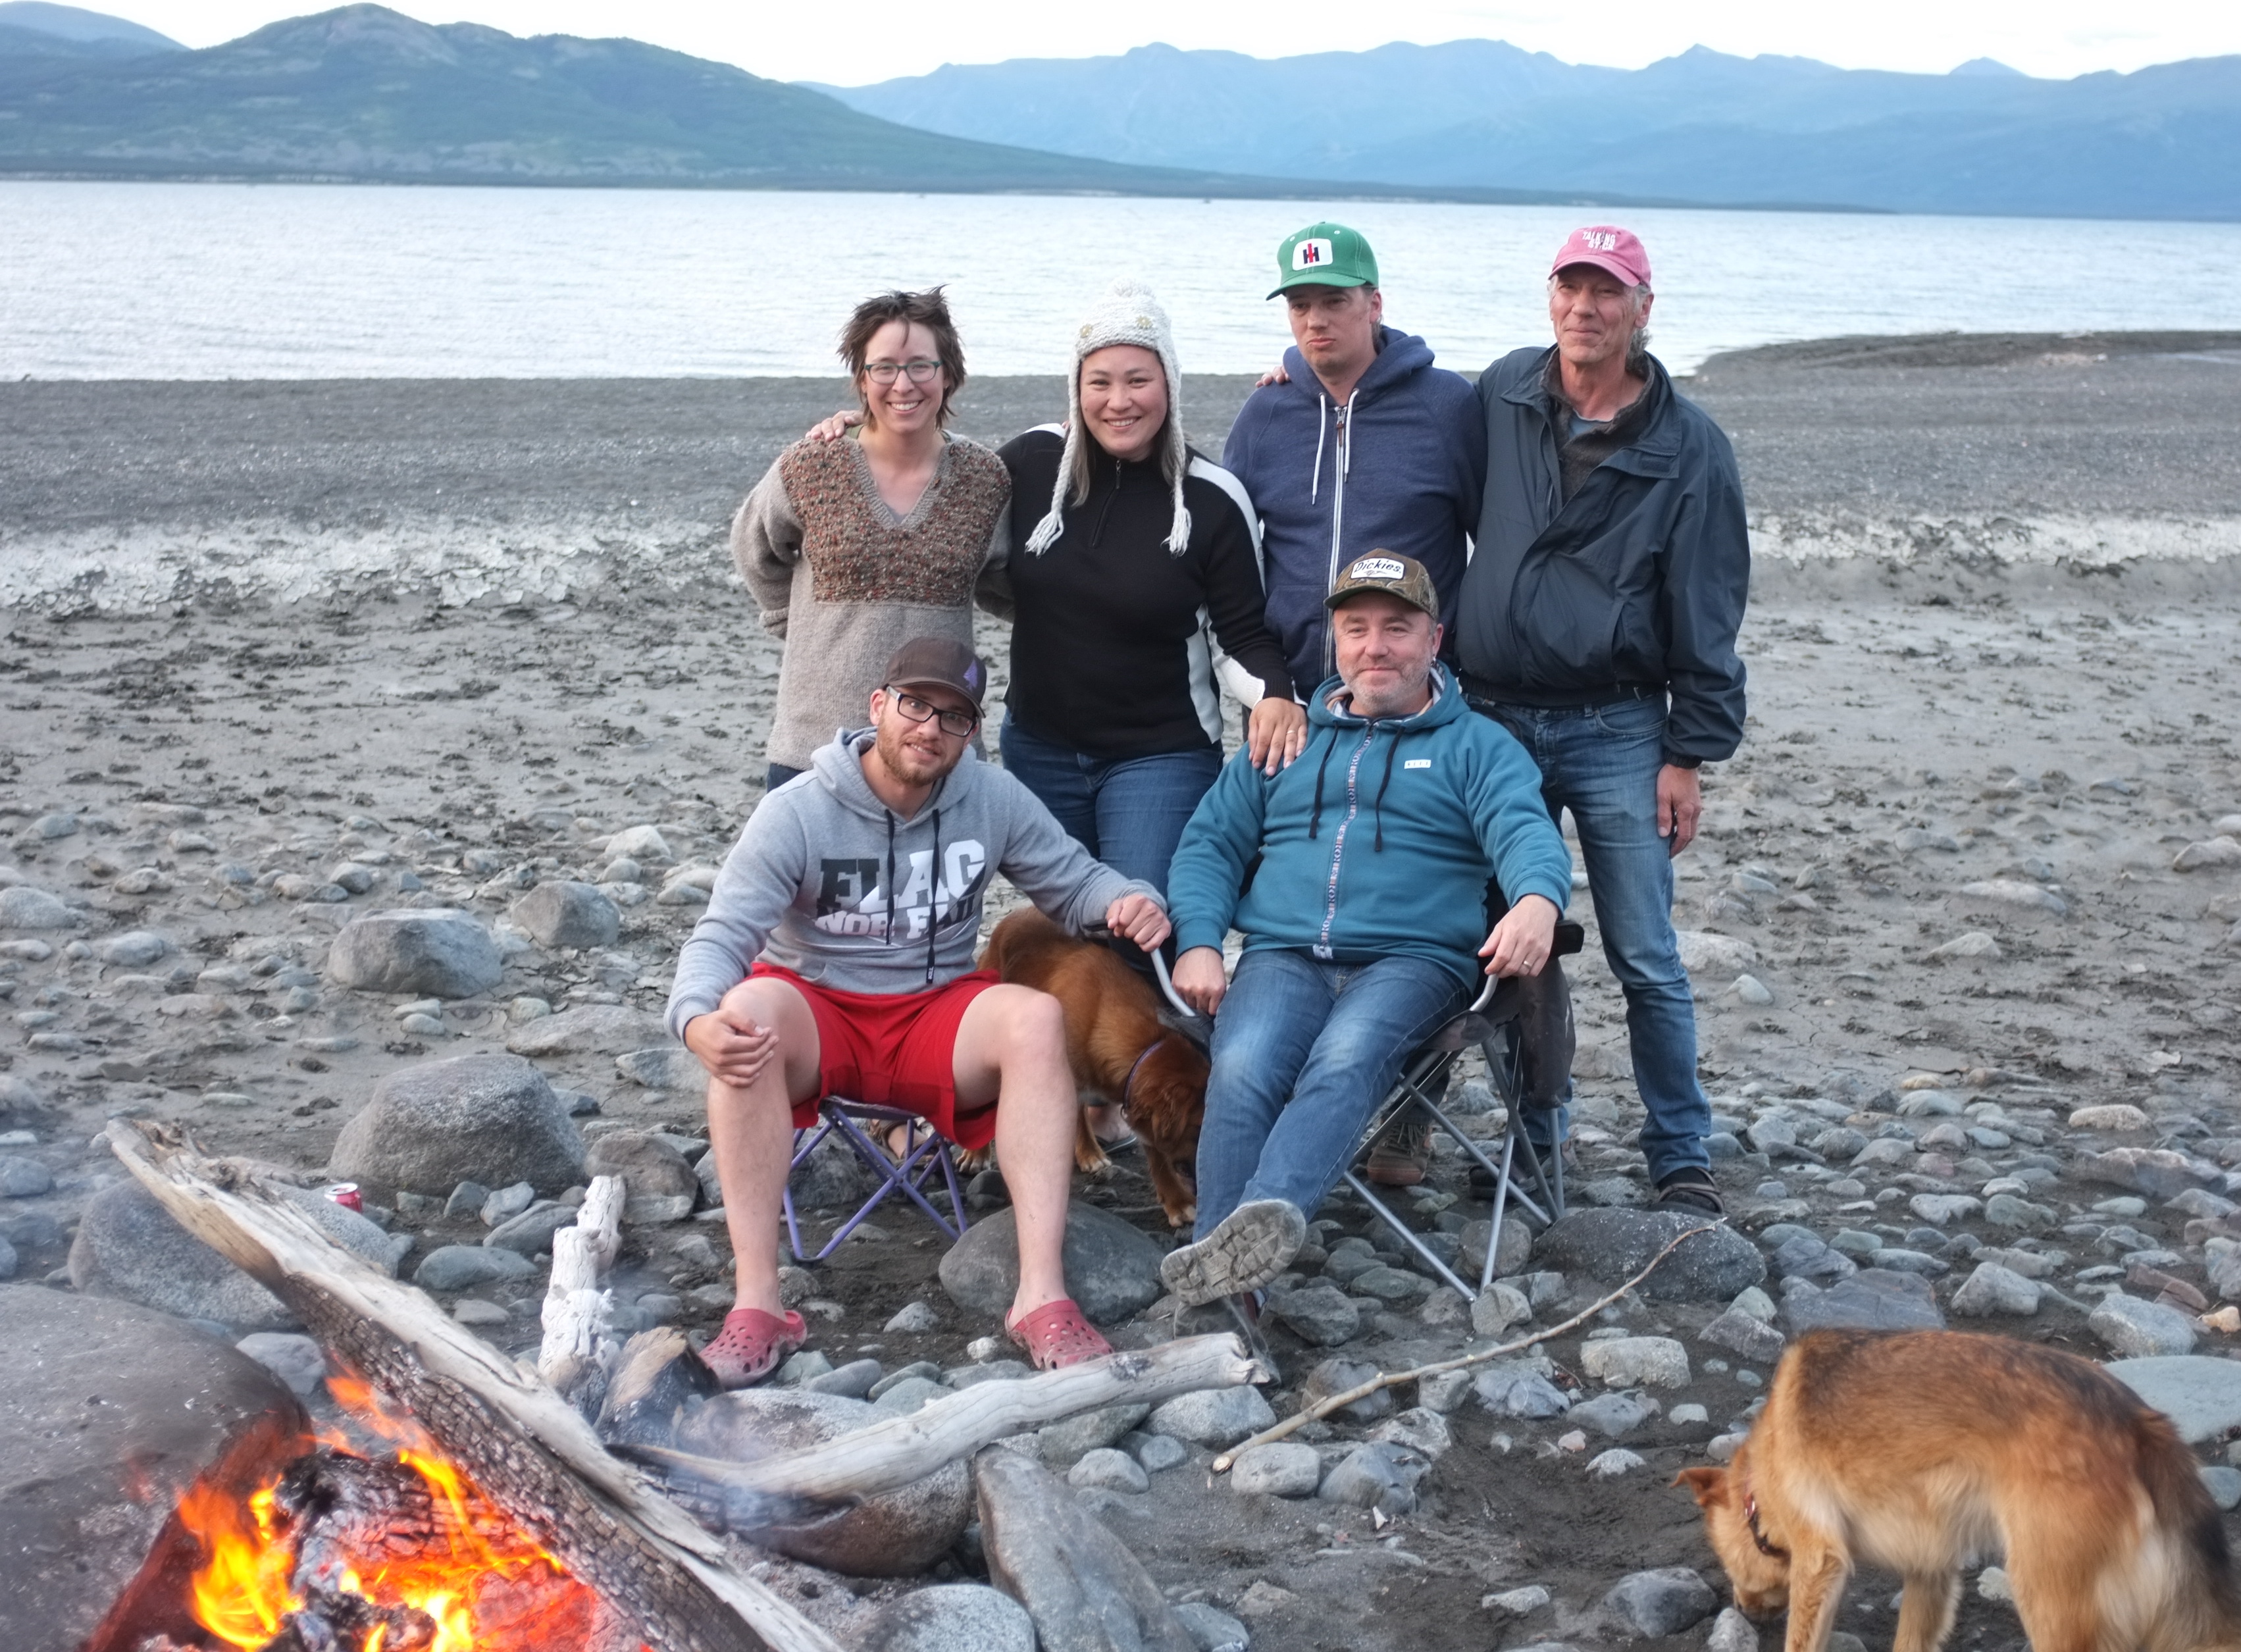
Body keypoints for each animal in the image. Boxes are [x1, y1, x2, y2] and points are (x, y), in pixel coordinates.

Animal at [981, 910, 1210, 1219]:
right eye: (1197, 1128)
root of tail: (1012, 916)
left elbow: (1154, 1149)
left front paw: (1175, 1198)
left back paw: (1089, 1151)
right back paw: (975, 1155)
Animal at [1676, 1335, 2232, 1649]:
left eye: (1727, 1562)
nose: (1741, 1609)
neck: (1759, 1479)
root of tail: (2139, 1422)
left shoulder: (1820, 1561)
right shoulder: (1932, 1569)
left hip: (2050, 1605)